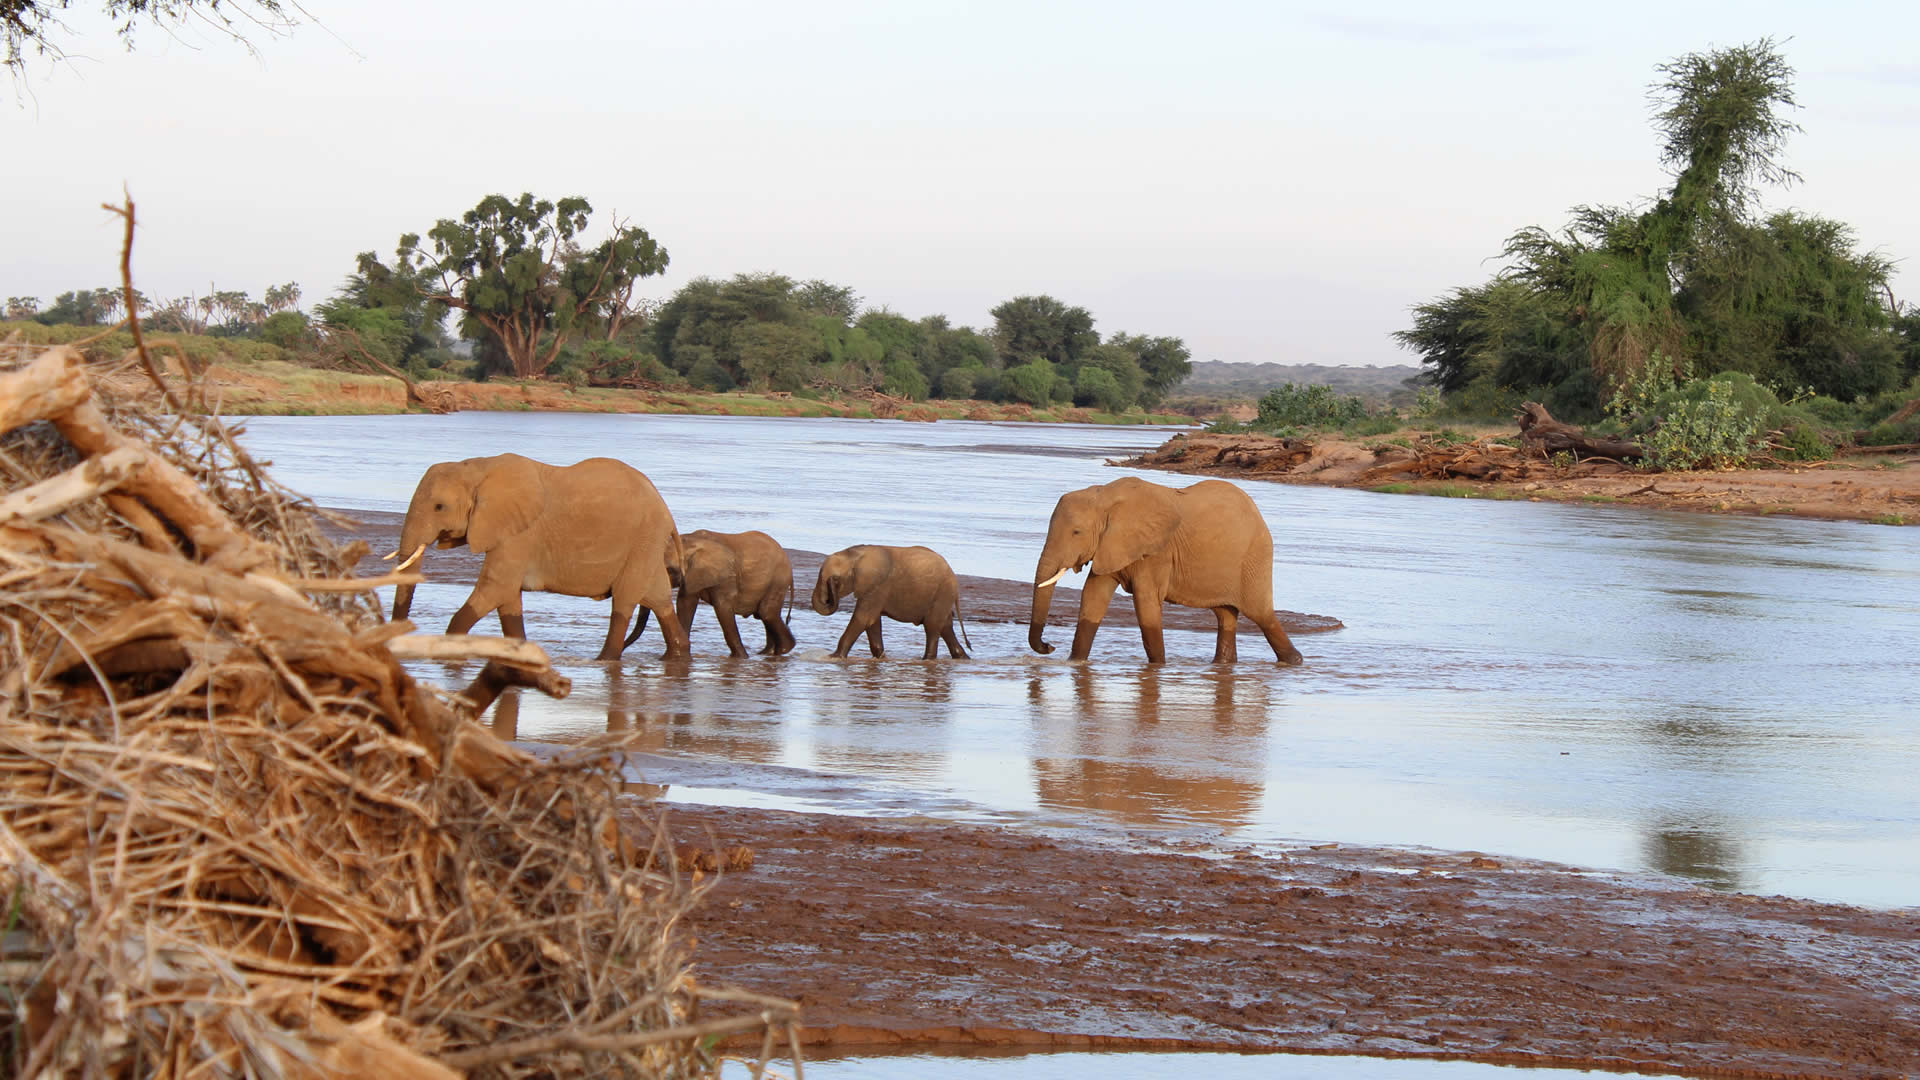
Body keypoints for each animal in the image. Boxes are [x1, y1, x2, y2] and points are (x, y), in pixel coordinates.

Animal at [387, 451, 691, 661]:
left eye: (439, 507)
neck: (478, 467)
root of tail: (667, 512)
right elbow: (508, 599)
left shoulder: (519, 534)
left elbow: (497, 588)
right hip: (646, 546)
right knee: (659, 599)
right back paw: (677, 655)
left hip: (643, 539)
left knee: (625, 601)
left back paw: (604, 660)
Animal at [629, 522, 794, 653]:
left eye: (669, 570)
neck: (688, 542)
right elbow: (685, 604)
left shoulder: (725, 576)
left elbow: (722, 609)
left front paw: (741, 658)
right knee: (764, 615)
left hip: (778, 580)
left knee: (766, 612)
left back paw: (784, 649)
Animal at [806, 545, 967, 657]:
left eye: (836, 579)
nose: (830, 596)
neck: (855, 556)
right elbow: (872, 622)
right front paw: (881, 658)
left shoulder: (878, 586)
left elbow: (863, 618)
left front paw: (834, 657)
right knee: (945, 627)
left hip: (943, 593)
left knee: (932, 627)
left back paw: (927, 659)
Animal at [1036, 472, 1305, 661]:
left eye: (1076, 532)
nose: (1049, 646)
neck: (1103, 496)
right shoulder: (1111, 545)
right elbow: (1093, 597)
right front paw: (1074, 663)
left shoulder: (1157, 552)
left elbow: (1146, 604)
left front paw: (1158, 667)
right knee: (1225, 615)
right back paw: (1223, 664)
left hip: (1254, 558)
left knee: (1262, 615)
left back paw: (1295, 661)